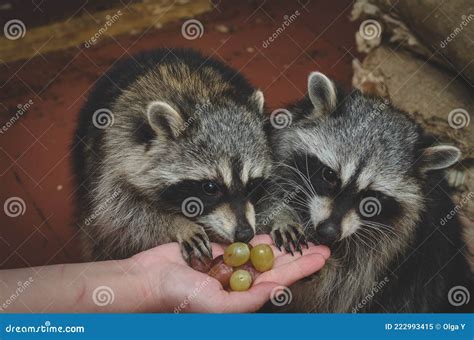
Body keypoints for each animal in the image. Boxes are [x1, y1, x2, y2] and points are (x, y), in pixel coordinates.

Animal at [70, 49, 270, 262]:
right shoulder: (116, 152)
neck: (204, 95)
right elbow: (119, 216)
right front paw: (178, 224)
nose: (245, 233)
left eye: (252, 184)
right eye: (210, 187)